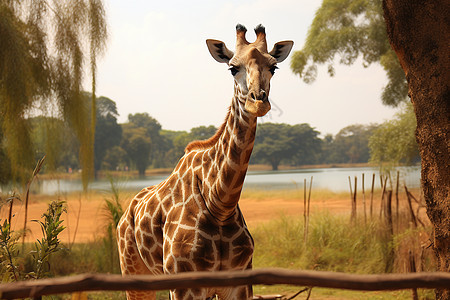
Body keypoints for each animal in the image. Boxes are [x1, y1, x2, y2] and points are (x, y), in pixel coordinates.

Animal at [116, 24, 294, 300]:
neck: (220, 204)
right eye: (232, 67)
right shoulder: (185, 284)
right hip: (133, 272)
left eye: (273, 67)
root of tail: (126, 214)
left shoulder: (239, 281)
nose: (258, 101)